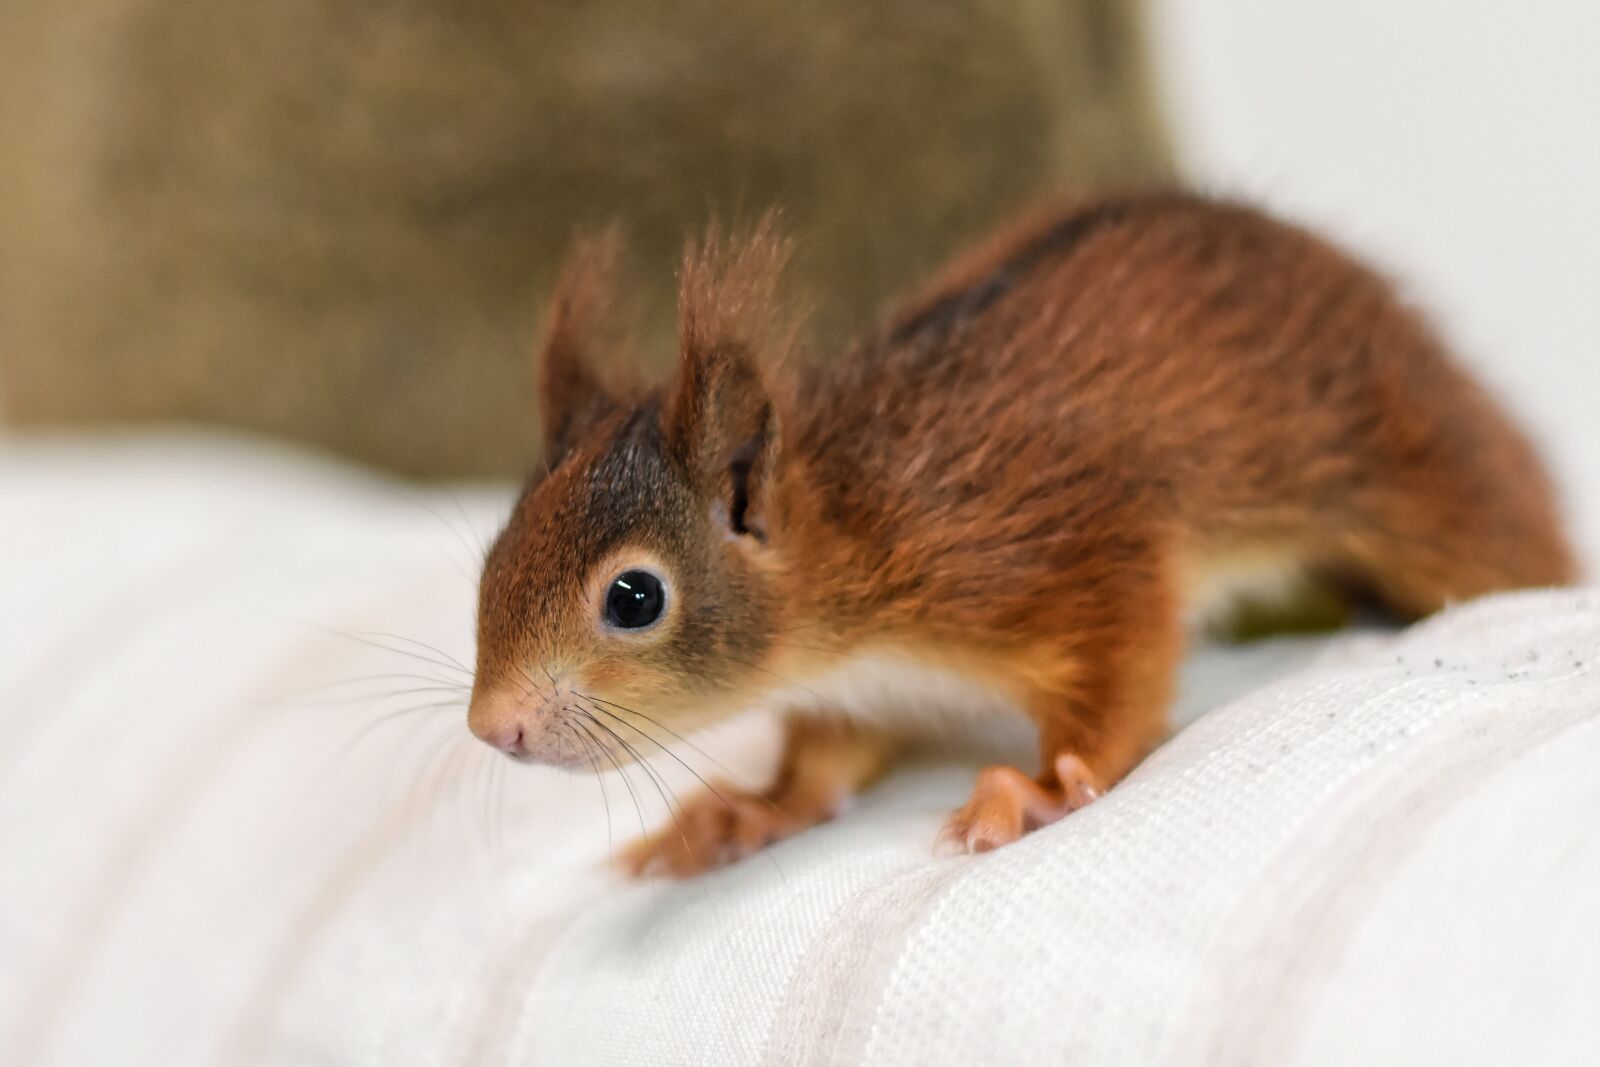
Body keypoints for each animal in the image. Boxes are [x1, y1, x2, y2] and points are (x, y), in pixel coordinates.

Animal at [467, 192, 1576, 876]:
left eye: (635, 596)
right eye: (491, 557)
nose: (492, 729)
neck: (857, 527)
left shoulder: (1053, 551)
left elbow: (1118, 672)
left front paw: (1039, 790)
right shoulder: (860, 690)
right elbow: (824, 766)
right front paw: (746, 811)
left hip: (1429, 484)